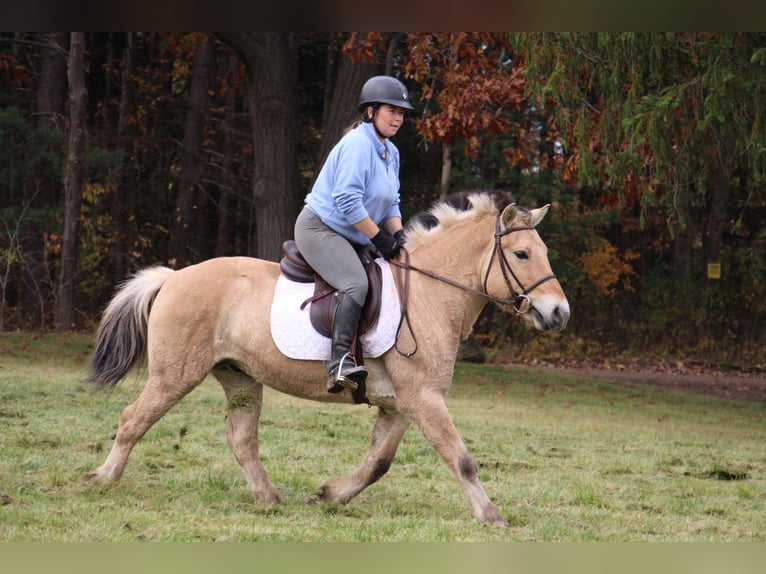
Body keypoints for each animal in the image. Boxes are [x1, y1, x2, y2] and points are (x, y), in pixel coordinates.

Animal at [82, 191, 568, 528]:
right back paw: (103, 479)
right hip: (175, 375)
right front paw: (492, 516)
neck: (430, 294)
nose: (559, 313)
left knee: (241, 438)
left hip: (240, 378)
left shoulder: (401, 405)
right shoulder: (424, 399)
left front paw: (330, 495)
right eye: (521, 254)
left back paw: (269, 499)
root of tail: (173, 277)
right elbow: (461, 458)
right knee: (133, 418)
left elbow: (378, 463)